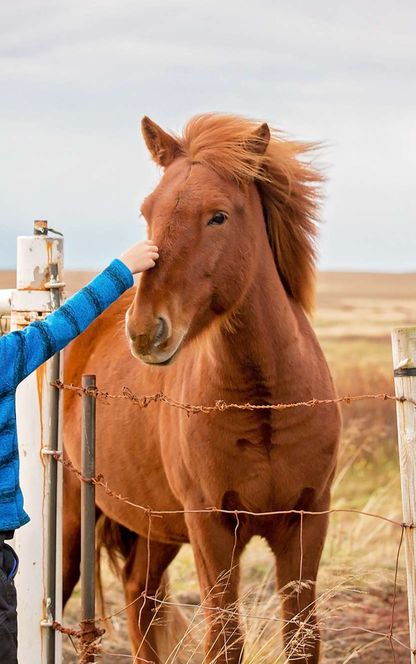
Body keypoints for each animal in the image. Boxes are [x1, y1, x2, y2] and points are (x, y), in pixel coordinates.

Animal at [62, 113, 341, 663]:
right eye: (147, 211)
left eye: (218, 217)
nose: (145, 331)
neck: (264, 400)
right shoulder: (211, 527)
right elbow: (224, 639)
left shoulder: (307, 520)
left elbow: (302, 637)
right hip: (70, 520)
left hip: (154, 528)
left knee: (140, 594)